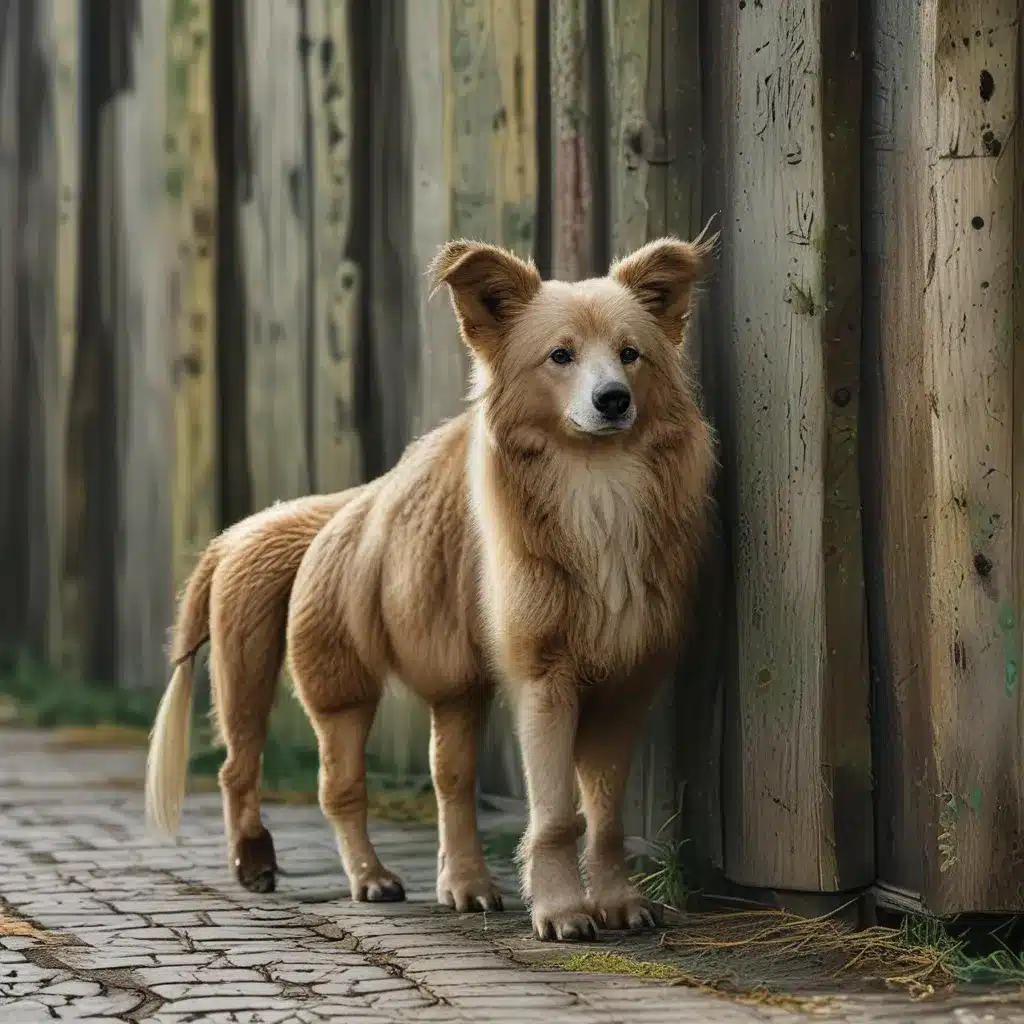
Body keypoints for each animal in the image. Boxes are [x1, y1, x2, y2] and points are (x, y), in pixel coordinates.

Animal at [148, 234, 716, 942]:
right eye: (560, 355)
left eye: (630, 353)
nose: (613, 399)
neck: (596, 485)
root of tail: (328, 516)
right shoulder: (544, 675)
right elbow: (558, 814)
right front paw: (561, 912)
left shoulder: (625, 679)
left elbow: (605, 816)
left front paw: (616, 901)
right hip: (300, 680)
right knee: (288, 777)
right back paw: (331, 872)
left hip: (452, 685)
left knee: (449, 779)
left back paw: (463, 886)